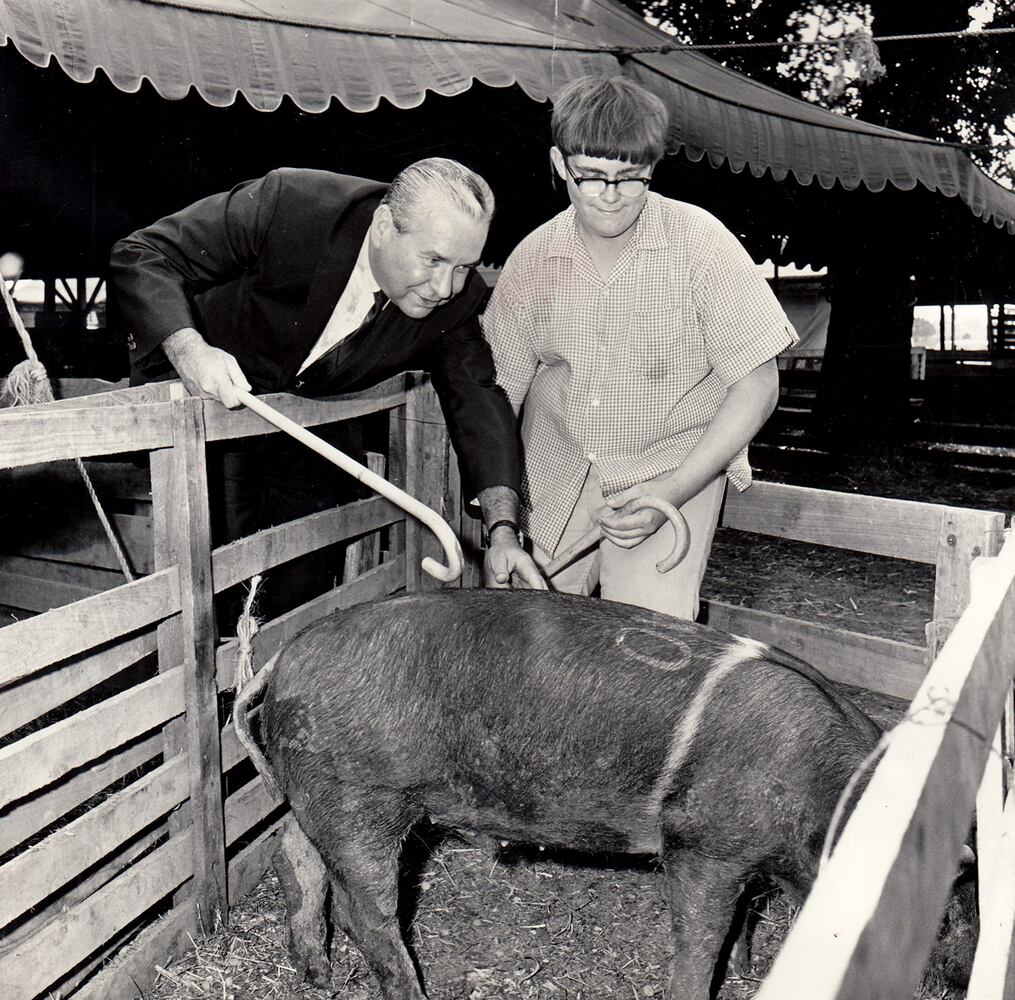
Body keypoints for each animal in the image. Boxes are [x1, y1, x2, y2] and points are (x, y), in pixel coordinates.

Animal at [232, 588, 974, 994]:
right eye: (943, 912)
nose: (954, 976)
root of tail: (285, 657)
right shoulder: (701, 846)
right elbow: (701, 935)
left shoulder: (758, 862)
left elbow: (745, 918)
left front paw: (744, 968)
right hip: (361, 797)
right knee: (368, 912)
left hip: (321, 794)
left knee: (292, 852)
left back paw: (317, 976)